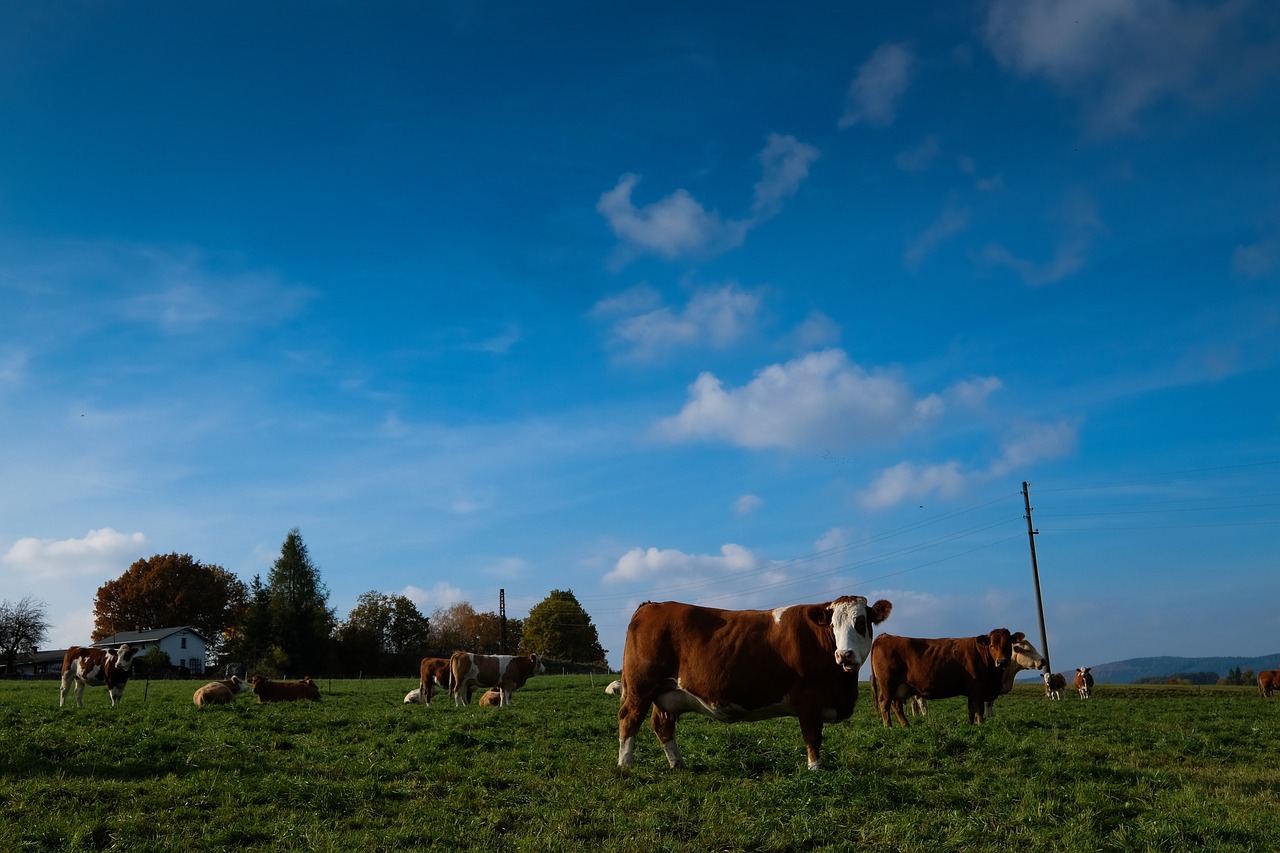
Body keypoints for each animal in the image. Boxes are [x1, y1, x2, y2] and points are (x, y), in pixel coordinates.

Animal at [616, 591, 890, 768]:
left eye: (861, 622)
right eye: (833, 625)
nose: (844, 654)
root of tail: (652, 605)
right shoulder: (808, 699)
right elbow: (813, 737)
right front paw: (815, 769)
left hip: (666, 693)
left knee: (662, 725)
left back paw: (678, 764)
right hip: (641, 687)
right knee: (629, 718)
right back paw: (625, 764)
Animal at [865, 625, 1024, 722]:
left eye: (1008, 644)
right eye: (991, 645)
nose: (1002, 662)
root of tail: (885, 636)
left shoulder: (971, 691)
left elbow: (971, 711)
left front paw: (972, 727)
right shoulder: (977, 688)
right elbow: (979, 711)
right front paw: (981, 726)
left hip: (898, 687)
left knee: (896, 705)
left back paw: (907, 726)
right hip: (888, 684)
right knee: (884, 704)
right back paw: (889, 727)